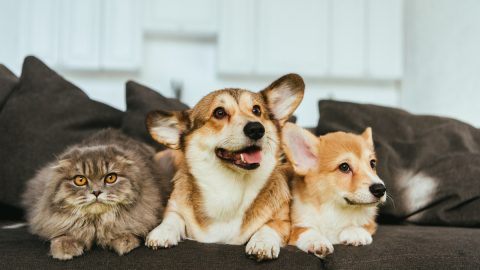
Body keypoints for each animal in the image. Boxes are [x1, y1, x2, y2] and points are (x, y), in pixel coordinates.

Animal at [22, 130, 165, 260]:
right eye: (80, 180)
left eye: (111, 178)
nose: (96, 192)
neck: (95, 222)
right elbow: (64, 231)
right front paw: (64, 247)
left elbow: (124, 226)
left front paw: (123, 240)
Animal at [144, 73, 306, 260]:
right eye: (219, 112)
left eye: (257, 110)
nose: (257, 128)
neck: (230, 187)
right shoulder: (174, 207)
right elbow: (172, 218)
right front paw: (162, 232)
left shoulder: (283, 221)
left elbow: (269, 226)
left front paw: (262, 243)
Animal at [282, 123, 386, 258]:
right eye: (344, 167)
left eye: (372, 164)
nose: (381, 189)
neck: (334, 208)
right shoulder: (295, 227)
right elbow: (306, 229)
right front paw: (317, 241)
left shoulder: (370, 223)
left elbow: (359, 224)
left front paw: (355, 232)